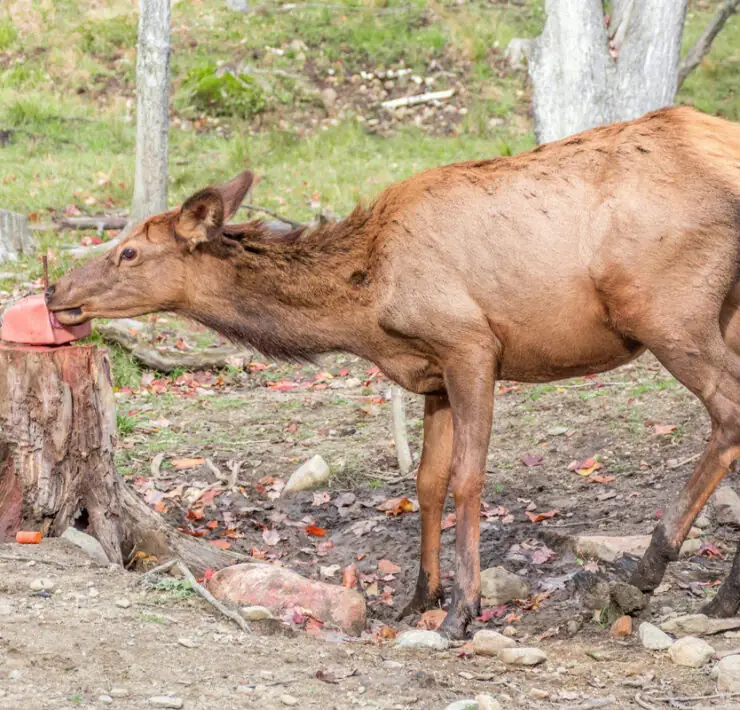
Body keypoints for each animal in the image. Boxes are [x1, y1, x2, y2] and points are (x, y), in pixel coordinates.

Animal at [47, 105, 740, 640]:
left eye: (129, 251)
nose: (56, 289)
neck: (367, 305)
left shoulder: (471, 344)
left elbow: (466, 479)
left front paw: (463, 611)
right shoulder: (430, 373)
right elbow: (427, 483)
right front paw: (418, 598)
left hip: (669, 312)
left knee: (728, 414)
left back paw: (648, 571)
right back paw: (720, 600)